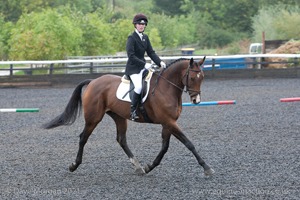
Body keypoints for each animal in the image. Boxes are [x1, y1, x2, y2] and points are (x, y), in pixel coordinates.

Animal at [43, 57, 214, 176]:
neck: (166, 88)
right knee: (83, 138)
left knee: (121, 139)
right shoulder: (169, 122)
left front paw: (149, 167)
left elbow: (164, 147)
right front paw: (206, 168)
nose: (196, 100)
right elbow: (188, 143)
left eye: (202, 77)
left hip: (118, 117)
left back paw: (138, 166)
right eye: (192, 78)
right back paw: (74, 165)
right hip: (93, 118)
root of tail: (93, 81)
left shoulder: (168, 123)